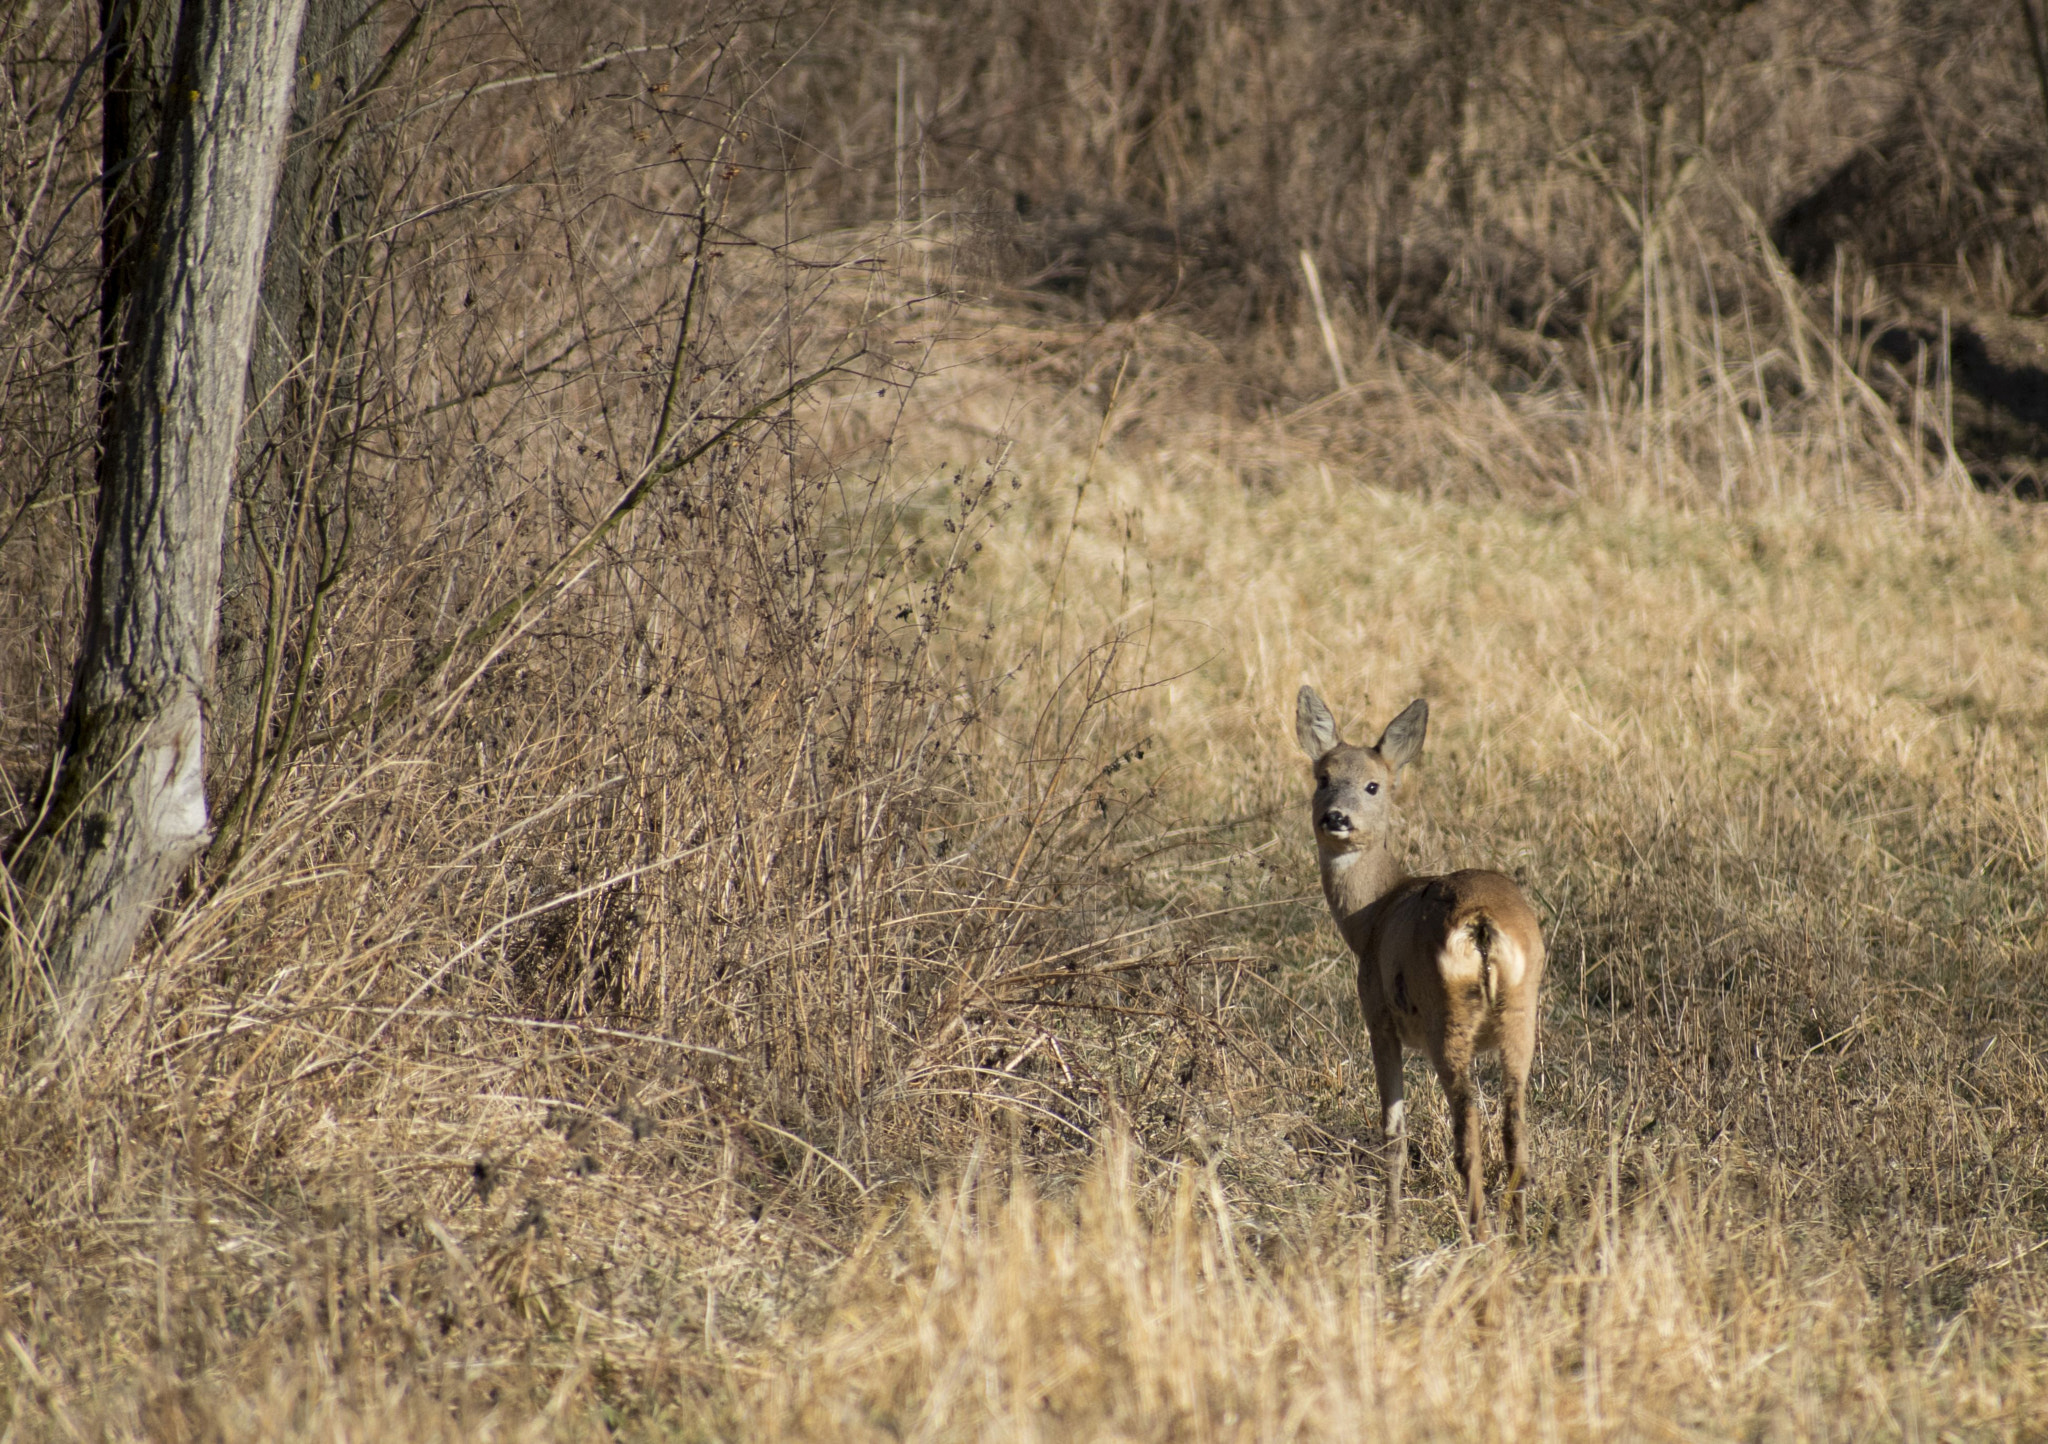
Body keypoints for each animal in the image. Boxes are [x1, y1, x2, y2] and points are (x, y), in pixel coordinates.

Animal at [1302, 688, 1540, 1237]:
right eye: (1323, 777)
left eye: (1373, 785)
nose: (1336, 817)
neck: (1372, 916)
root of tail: (1482, 925)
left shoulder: (1378, 1018)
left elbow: (1392, 1132)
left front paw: (1388, 1233)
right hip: (1522, 1012)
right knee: (1515, 1126)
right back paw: (1519, 1235)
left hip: (1443, 1016)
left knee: (1468, 1128)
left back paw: (1479, 1234)